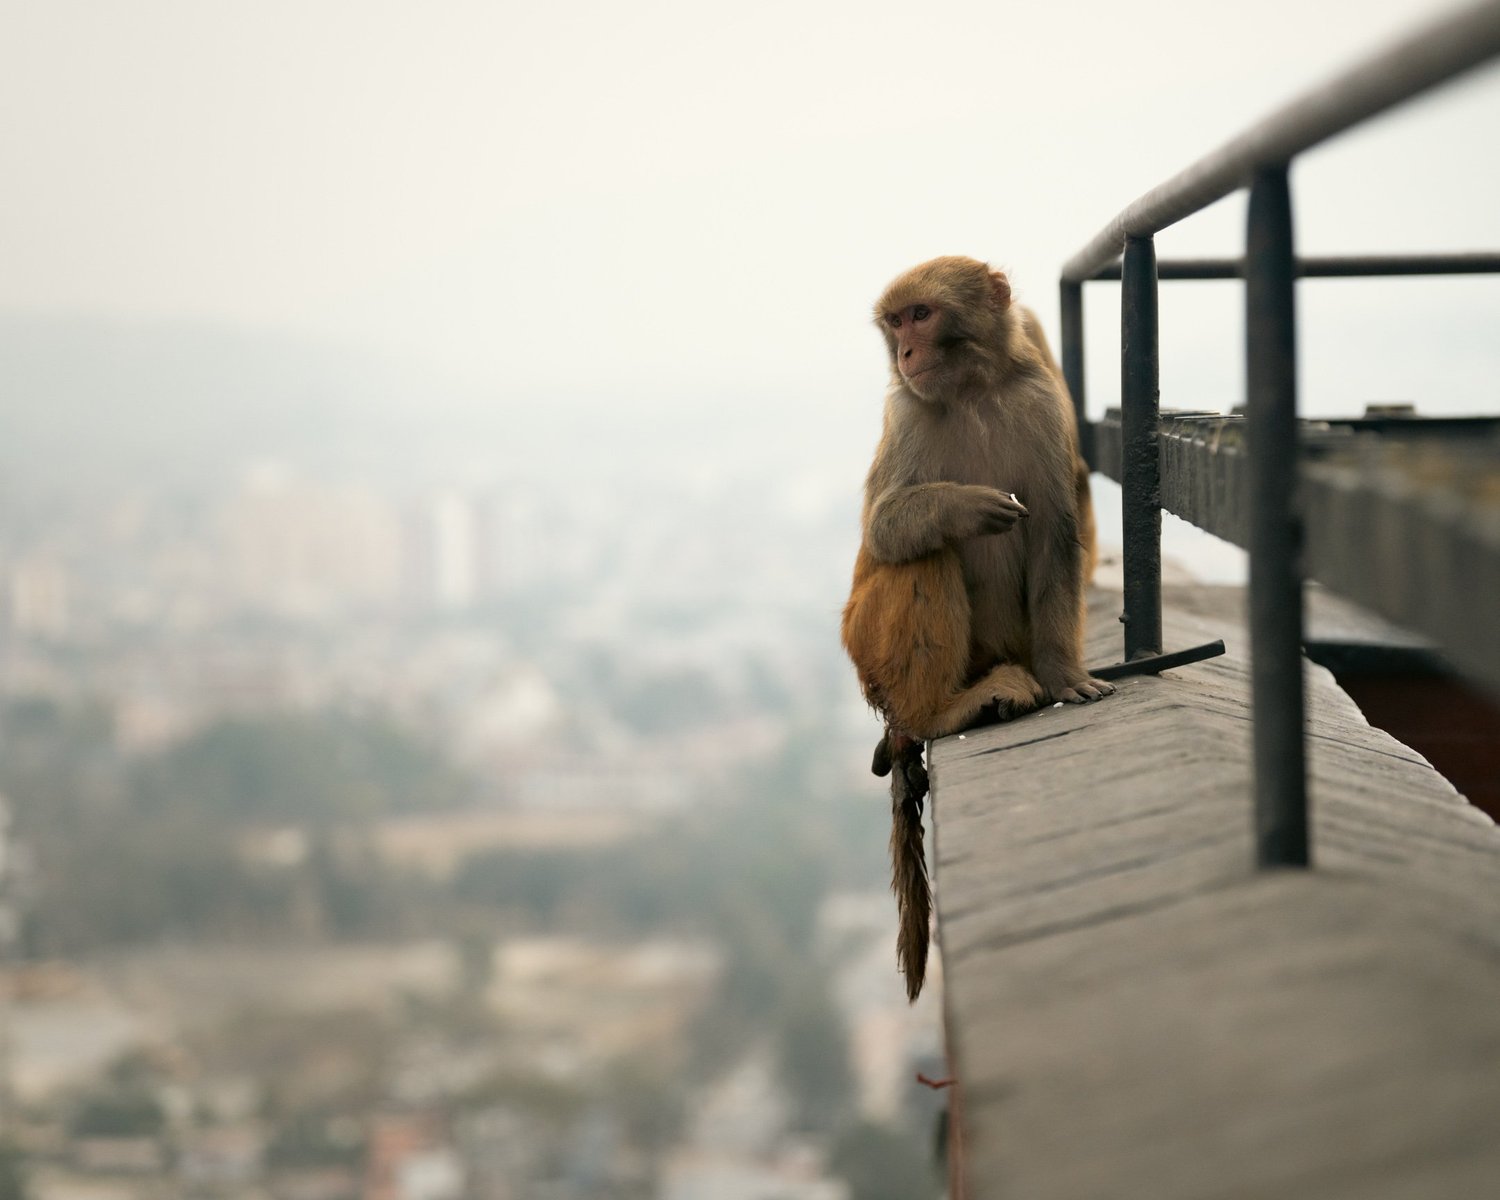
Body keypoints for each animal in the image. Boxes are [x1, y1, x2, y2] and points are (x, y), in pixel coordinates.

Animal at [841, 256, 1114, 1001]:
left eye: (921, 315)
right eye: (896, 323)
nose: (906, 354)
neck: (973, 389)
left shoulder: (1040, 401)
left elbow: (1055, 532)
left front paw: (1066, 675)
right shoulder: (906, 408)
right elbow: (886, 526)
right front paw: (961, 507)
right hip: (869, 646)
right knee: (923, 556)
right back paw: (942, 711)